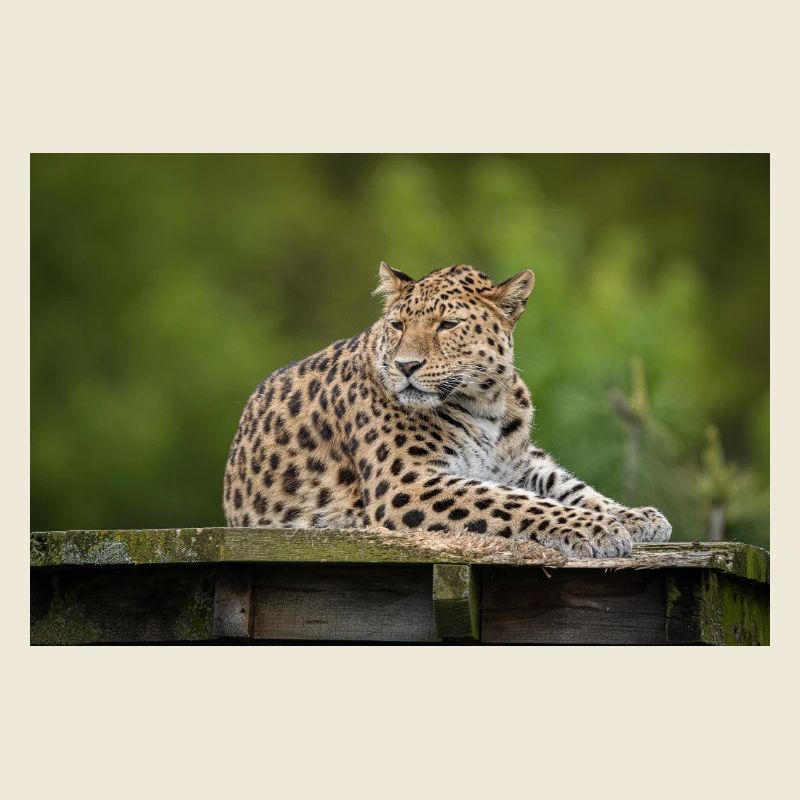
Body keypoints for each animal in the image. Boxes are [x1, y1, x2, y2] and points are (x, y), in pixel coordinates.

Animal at [223, 262, 672, 558]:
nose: (405, 365)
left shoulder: (518, 461)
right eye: (398, 325)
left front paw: (635, 517)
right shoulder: (407, 482)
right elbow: (514, 502)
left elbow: (566, 486)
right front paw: (598, 528)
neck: (487, 404)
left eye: (448, 324)